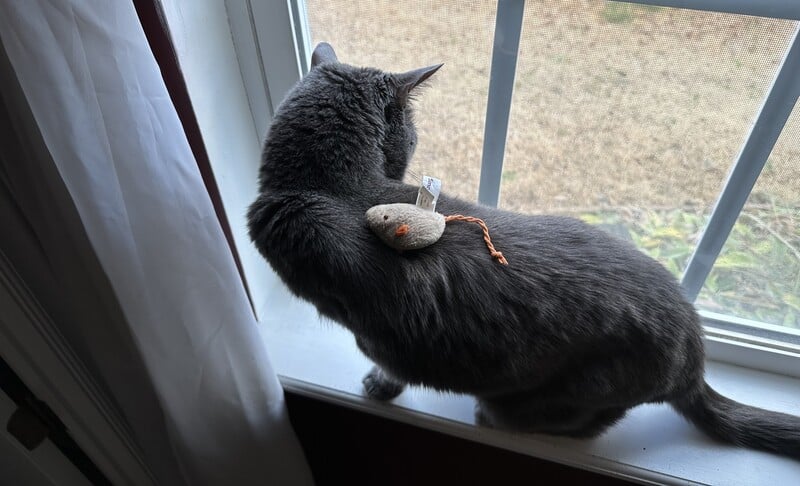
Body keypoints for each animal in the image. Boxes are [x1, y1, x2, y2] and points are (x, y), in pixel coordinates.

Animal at [247, 42, 796, 460]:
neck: (330, 184)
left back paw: (493, 417)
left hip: (567, 392)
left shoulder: (378, 334)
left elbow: (390, 364)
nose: (415, 145)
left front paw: (378, 387)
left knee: (580, 422)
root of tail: (695, 355)